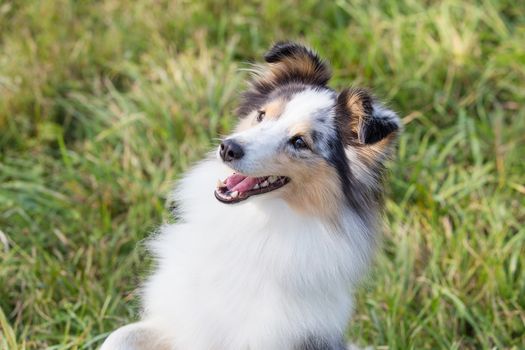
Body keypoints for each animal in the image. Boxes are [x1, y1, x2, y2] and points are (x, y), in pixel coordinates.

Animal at [100, 42, 400, 348]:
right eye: (261, 115)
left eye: (300, 142)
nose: (227, 148)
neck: (254, 222)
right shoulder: (179, 322)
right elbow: (119, 335)